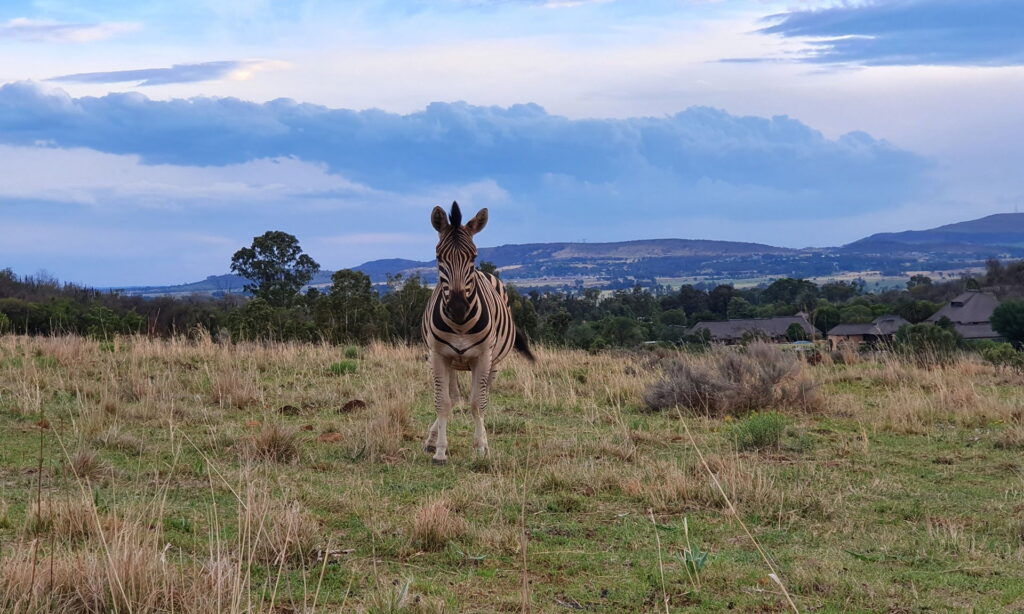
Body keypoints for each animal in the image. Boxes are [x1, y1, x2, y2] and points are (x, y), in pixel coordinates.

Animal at [421, 201, 536, 464]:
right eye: (438, 256)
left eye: (473, 256)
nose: (458, 308)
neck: (460, 325)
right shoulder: (438, 355)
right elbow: (442, 402)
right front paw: (440, 450)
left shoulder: (483, 357)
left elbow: (477, 403)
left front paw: (481, 447)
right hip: (450, 361)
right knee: (452, 397)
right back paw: (432, 438)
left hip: (494, 362)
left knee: (483, 395)